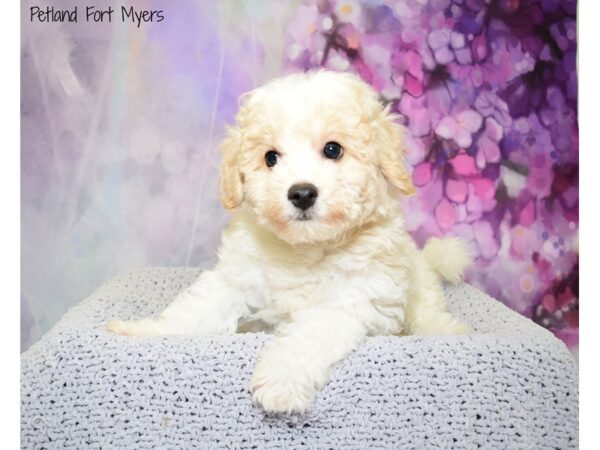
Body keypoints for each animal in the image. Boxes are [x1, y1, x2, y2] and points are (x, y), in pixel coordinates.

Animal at [108, 69, 474, 414]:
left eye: (333, 149)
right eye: (270, 157)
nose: (301, 193)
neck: (305, 250)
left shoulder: (349, 300)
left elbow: (306, 338)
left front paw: (281, 383)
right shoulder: (235, 280)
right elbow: (195, 310)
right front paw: (142, 332)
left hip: (419, 288)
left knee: (427, 314)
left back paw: (449, 331)